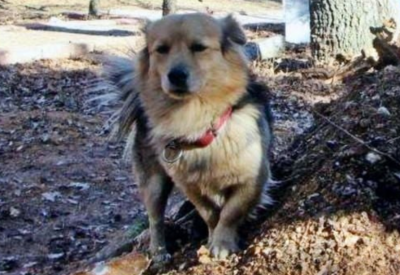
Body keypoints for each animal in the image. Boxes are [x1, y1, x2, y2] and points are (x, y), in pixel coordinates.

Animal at [100, 12, 276, 264]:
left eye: (199, 47)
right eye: (161, 50)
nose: (176, 75)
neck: (195, 119)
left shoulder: (253, 179)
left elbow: (231, 212)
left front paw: (222, 241)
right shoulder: (190, 186)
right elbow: (210, 213)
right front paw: (214, 237)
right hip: (153, 183)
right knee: (155, 217)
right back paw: (158, 251)